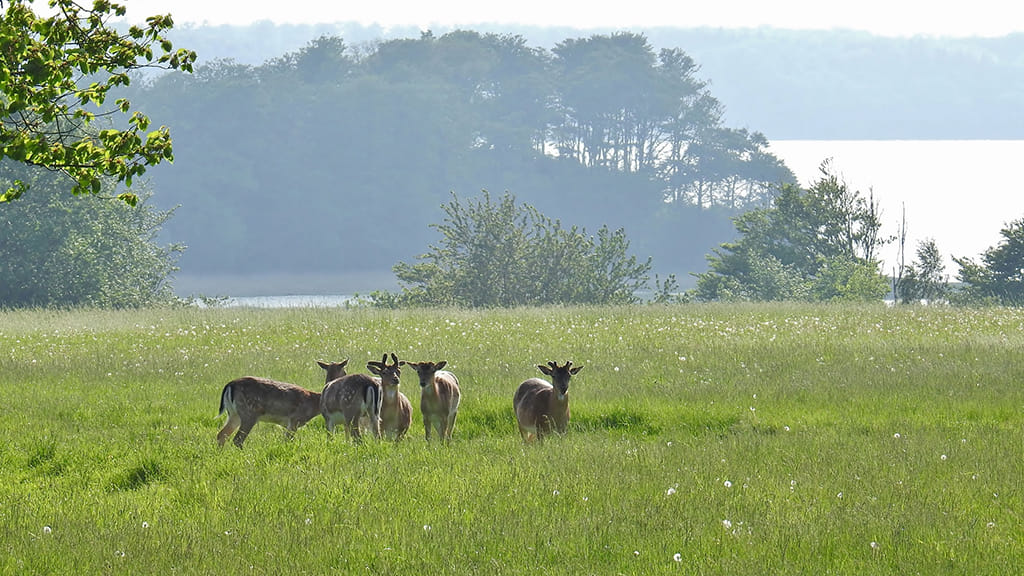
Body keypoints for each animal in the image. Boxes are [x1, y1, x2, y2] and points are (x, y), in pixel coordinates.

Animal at [217, 358, 348, 448]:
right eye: (345, 372)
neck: (314, 402)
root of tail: (231, 385)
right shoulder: (295, 420)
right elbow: (288, 441)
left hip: (234, 414)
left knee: (221, 435)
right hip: (249, 413)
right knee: (237, 440)